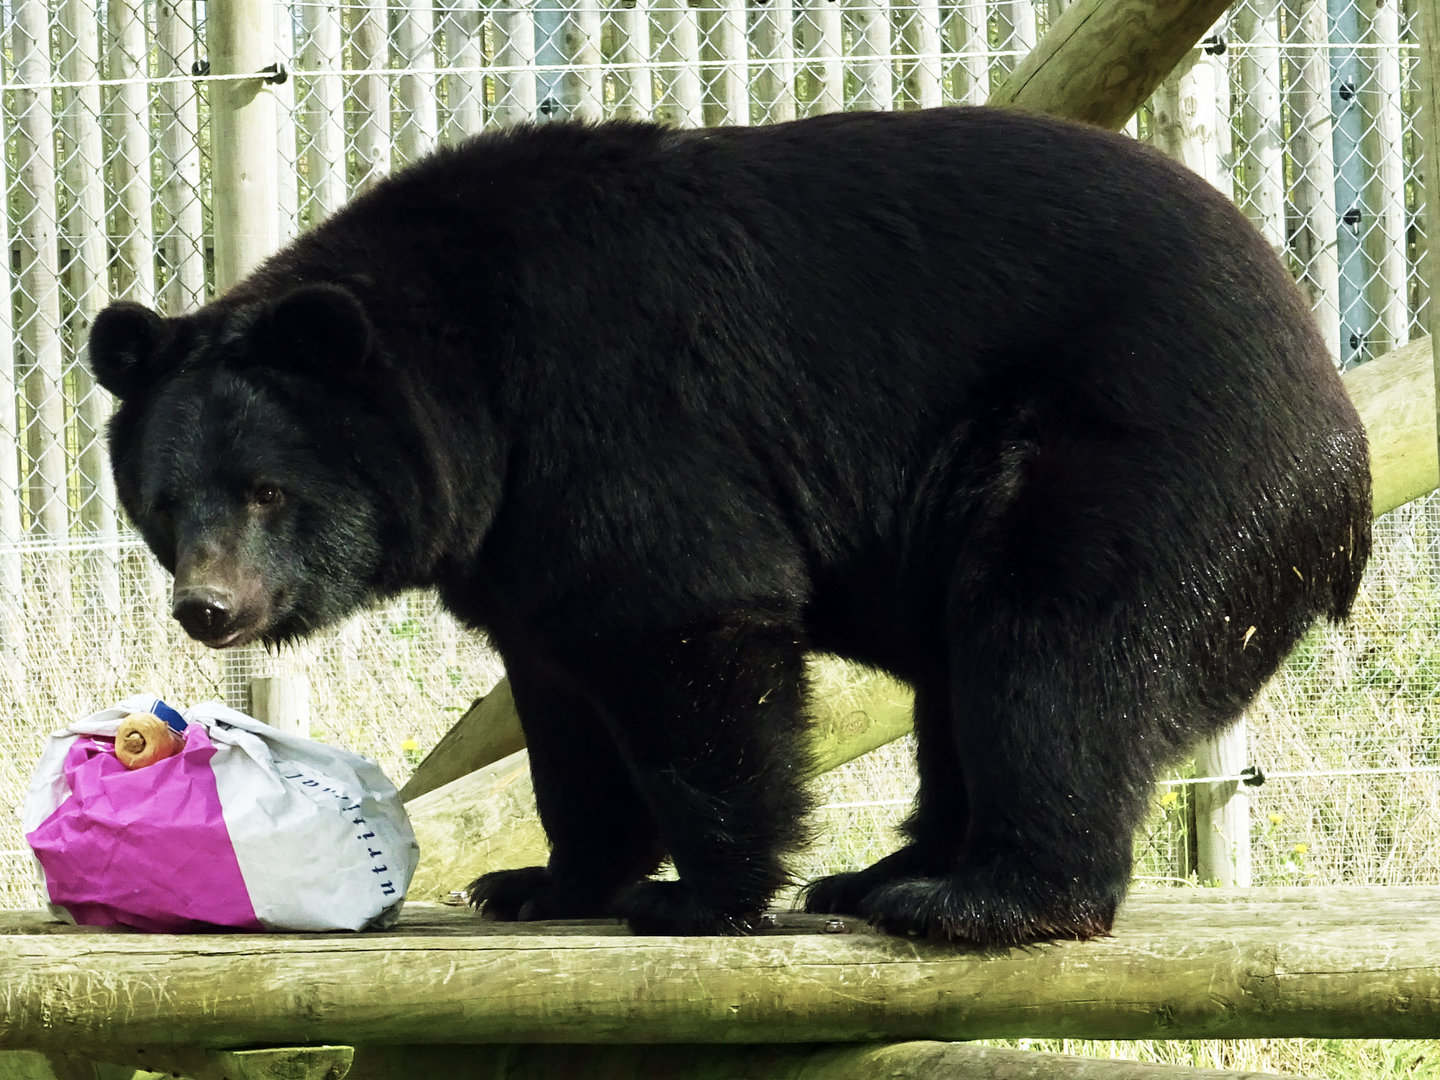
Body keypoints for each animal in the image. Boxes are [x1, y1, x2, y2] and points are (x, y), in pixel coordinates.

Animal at [87, 107, 1371, 944]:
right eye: (163, 503)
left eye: (268, 490)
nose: (210, 608)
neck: (476, 379)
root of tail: (1337, 442)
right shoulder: (516, 534)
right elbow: (562, 699)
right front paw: (542, 880)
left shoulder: (617, 411)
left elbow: (680, 619)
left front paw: (699, 896)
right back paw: (891, 871)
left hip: (1144, 462)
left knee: (1060, 651)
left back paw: (975, 899)